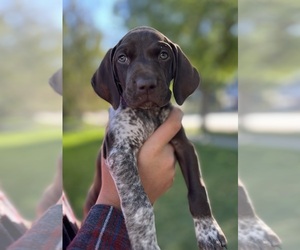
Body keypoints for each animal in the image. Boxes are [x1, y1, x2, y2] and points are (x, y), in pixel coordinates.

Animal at [85, 26, 226, 249]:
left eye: (163, 55)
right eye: (122, 58)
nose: (146, 85)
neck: (149, 114)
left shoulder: (184, 146)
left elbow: (198, 191)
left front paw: (209, 233)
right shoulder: (120, 154)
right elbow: (139, 203)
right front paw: (145, 242)